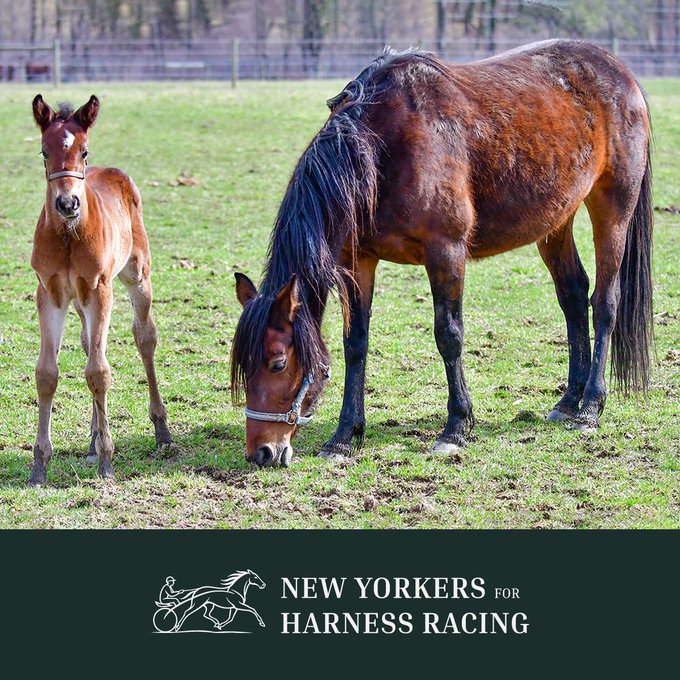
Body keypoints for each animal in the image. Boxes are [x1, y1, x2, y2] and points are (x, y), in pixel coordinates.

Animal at [29, 94, 172, 485]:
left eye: (84, 151)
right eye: (44, 152)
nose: (67, 203)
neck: (67, 235)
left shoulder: (100, 289)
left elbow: (99, 372)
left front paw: (108, 460)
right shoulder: (50, 293)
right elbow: (47, 374)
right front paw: (39, 466)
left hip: (137, 274)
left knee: (144, 336)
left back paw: (161, 430)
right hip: (79, 301)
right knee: (87, 344)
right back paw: (93, 440)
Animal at [231, 40, 653, 468]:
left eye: (278, 362)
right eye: (244, 366)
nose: (262, 452)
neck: (381, 148)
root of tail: (619, 71)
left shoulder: (445, 252)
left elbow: (448, 336)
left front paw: (456, 427)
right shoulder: (359, 260)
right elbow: (356, 344)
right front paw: (344, 437)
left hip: (613, 207)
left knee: (604, 302)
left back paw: (590, 408)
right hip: (556, 220)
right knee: (573, 295)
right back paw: (569, 401)